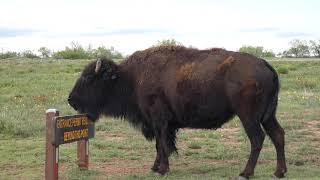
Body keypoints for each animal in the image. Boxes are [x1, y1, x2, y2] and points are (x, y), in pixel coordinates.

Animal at [68, 46, 288, 179]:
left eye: (88, 78)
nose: (71, 100)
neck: (130, 77)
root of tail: (266, 65)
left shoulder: (159, 121)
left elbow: (163, 144)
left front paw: (162, 170)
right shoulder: (160, 123)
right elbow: (159, 145)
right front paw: (155, 167)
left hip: (248, 117)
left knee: (257, 139)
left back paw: (246, 173)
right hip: (268, 116)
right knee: (278, 135)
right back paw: (279, 172)